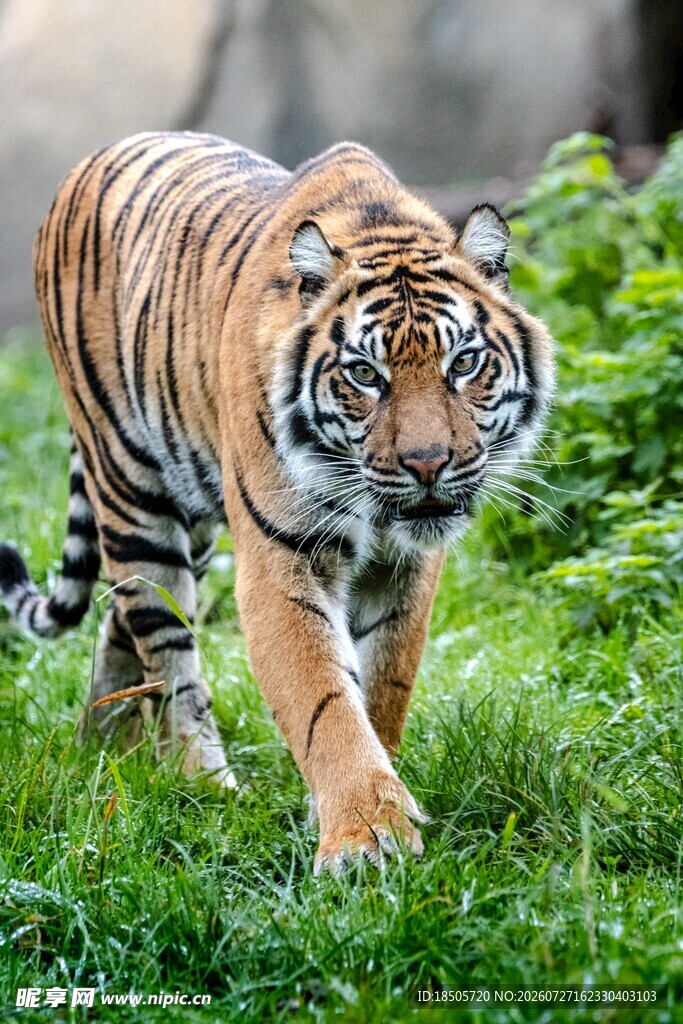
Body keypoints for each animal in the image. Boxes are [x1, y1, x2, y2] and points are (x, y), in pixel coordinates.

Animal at [0, 132, 554, 873]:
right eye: (364, 374)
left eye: (463, 363)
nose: (427, 465)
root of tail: (96, 157)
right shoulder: (282, 558)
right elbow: (324, 699)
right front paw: (366, 836)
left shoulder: (405, 569)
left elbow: (379, 688)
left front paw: (363, 807)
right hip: (132, 494)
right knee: (164, 648)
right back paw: (198, 780)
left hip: (191, 516)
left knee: (121, 614)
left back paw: (101, 743)